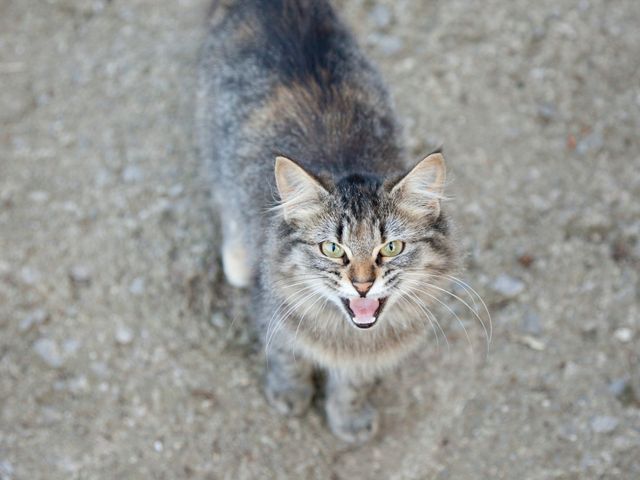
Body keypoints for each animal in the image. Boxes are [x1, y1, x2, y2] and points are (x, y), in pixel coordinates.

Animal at [198, 0, 458, 442]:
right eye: (332, 248)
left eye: (391, 247)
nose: (363, 284)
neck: (347, 338)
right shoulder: (274, 319)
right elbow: (287, 360)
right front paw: (290, 395)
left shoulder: (362, 360)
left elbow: (352, 386)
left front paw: (347, 419)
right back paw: (237, 258)